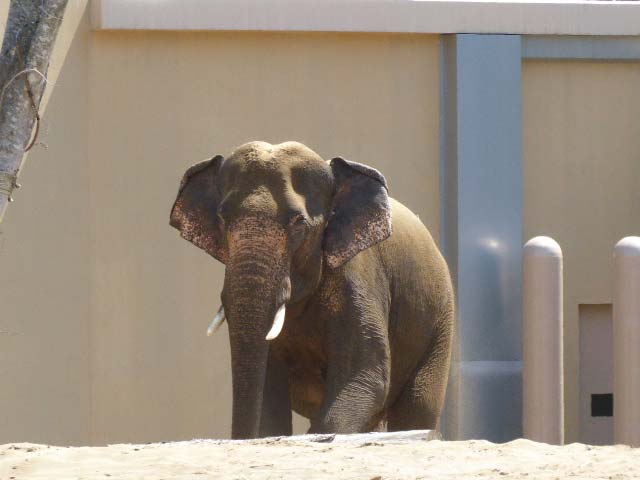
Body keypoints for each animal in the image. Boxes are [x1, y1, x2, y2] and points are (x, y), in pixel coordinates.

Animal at [168, 140, 452, 438]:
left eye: (299, 223)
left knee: (418, 405)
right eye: (222, 218)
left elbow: (365, 376)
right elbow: (269, 391)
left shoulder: (359, 279)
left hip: (439, 323)